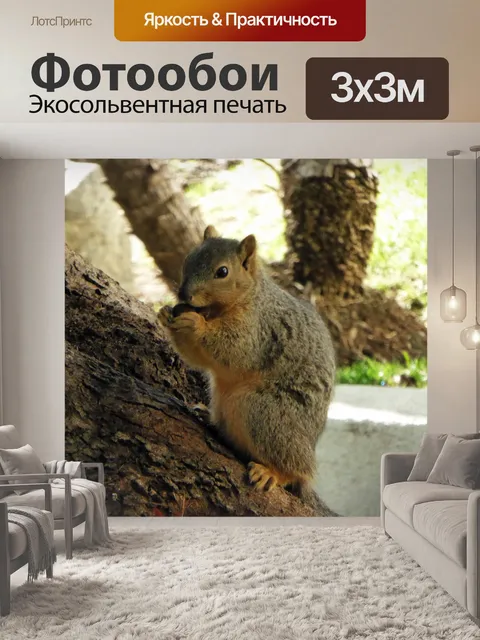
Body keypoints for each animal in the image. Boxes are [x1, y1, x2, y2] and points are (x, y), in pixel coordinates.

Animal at [158, 225, 336, 510]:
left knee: (297, 469)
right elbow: (198, 358)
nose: (184, 295)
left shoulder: (259, 330)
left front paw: (195, 324)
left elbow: (236, 349)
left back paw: (273, 473)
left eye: (222, 272)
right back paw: (207, 416)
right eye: (188, 258)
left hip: (264, 412)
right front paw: (165, 313)